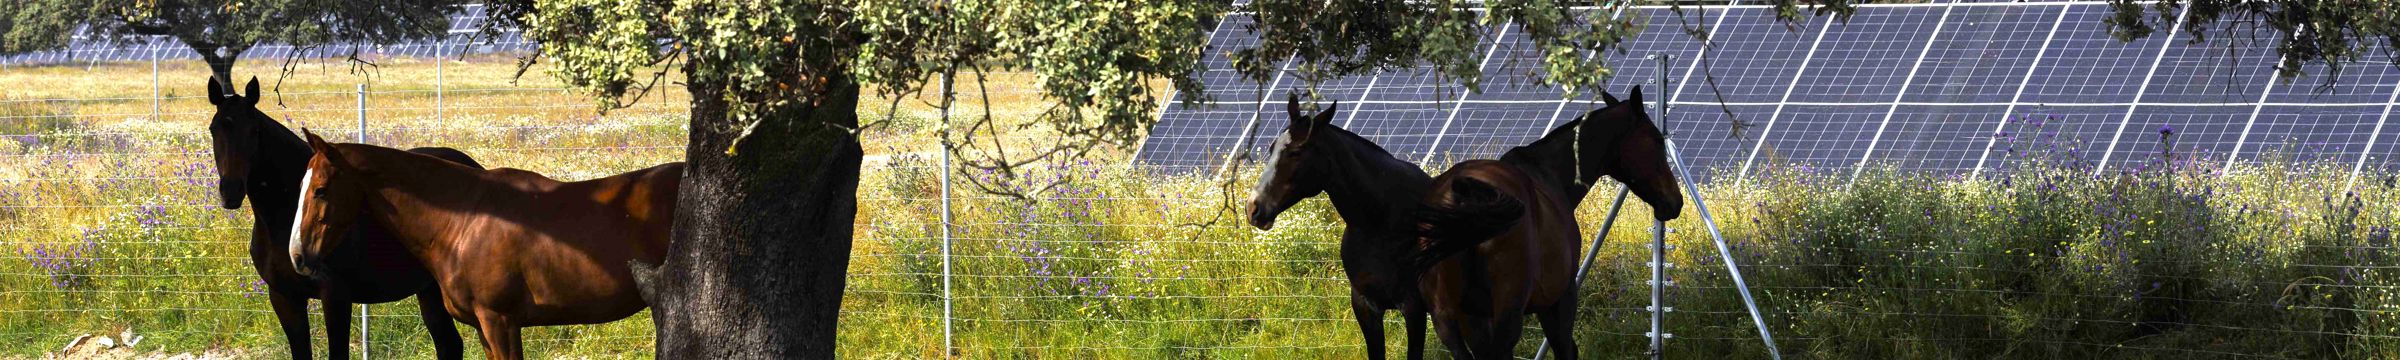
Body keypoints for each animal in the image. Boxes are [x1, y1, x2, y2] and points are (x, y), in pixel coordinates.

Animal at [202, 77, 477, 357]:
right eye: (214, 129)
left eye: (254, 131)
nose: (230, 192)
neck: (283, 219)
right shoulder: (284, 297)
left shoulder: (335, 296)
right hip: (429, 289)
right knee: (448, 344)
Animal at [288, 132, 686, 360]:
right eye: (300, 186)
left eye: (320, 190)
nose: (298, 255)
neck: (463, 221)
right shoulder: (483, 327)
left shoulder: (500, 321)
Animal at [1248, 94, 1430, 360]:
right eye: (1271, 149)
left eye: (1296, 151)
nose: (1253, 208)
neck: (1378, 223)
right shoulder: (1365, 306)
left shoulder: (1414, 307)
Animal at [1401, 85, 1689, 357]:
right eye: (1656, 140)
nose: (1676, 201)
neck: (1548, 174)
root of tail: (1465, 192)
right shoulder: (1560, 301)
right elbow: (1566, 349)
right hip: (1507, 313)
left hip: (1448, 320)